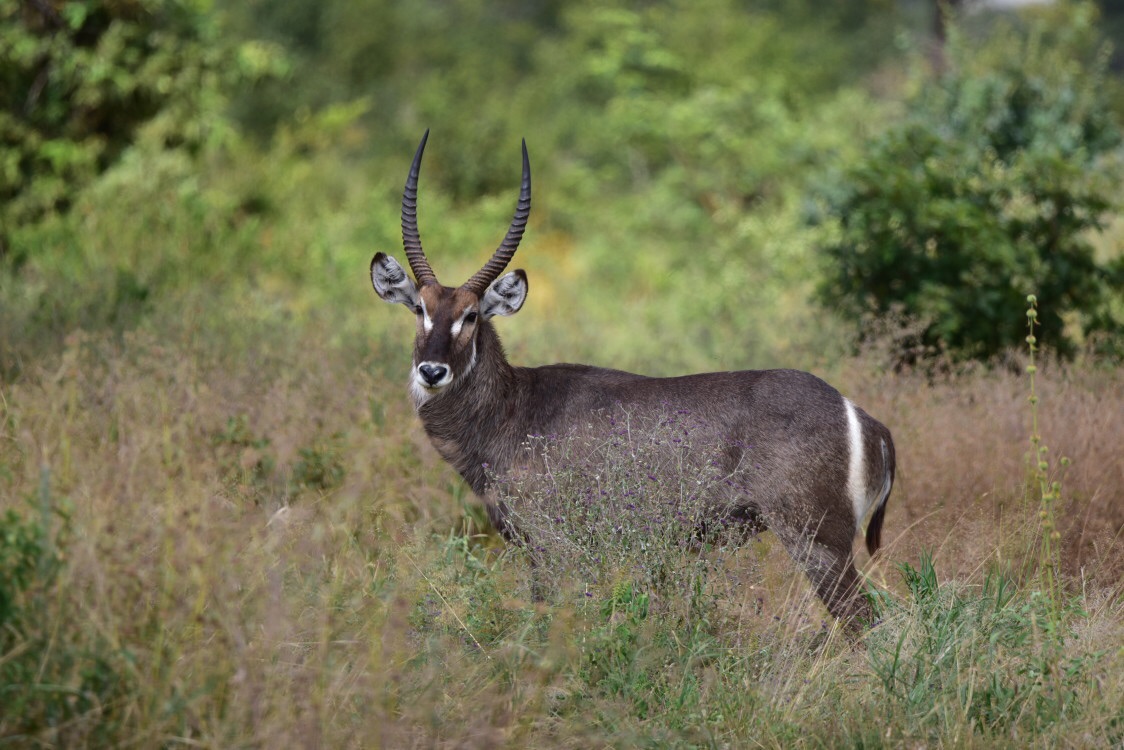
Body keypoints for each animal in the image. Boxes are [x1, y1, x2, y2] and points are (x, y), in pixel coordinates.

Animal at [370, 132, 894, 625]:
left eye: (472, 315)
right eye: (419, 309)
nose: (432, 371)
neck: (511, 409)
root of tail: (861, 415)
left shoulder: (552, 545)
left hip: (816, 538)